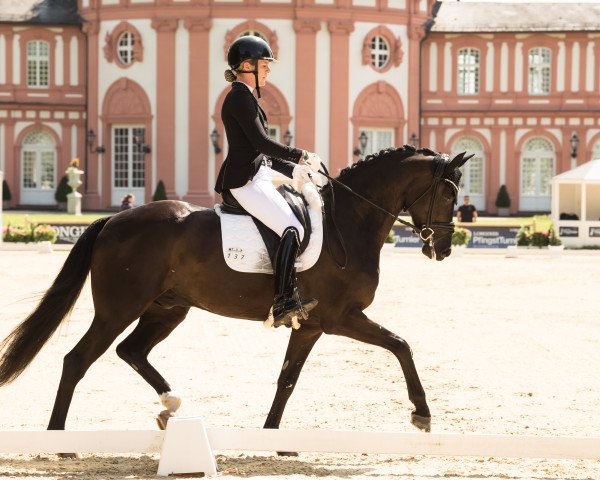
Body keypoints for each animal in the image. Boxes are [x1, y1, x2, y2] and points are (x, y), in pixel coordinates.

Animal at [0, 145, 472, 436]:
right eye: (450, 193)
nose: (444, 248)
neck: (348, 223)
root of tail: (113, 220)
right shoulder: (341, 318)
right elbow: (401, 345)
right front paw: (422, 413)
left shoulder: (310, 325)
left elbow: (287, 379)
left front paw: (270, 434)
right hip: (119, 308)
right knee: (77, 360)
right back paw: (58, 436)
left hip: (168, 308)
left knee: (130, 350)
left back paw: (170, 404)